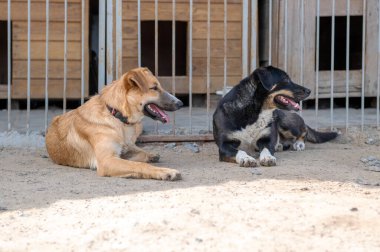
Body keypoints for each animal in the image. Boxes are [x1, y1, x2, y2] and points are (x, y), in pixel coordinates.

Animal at [46, 67, 183, 179]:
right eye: (154, 88)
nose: (180, 103)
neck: (115, 115)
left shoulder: (122, 152)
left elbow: (138, 155)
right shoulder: (107, 161)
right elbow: (138, 165)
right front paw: (165, 172)